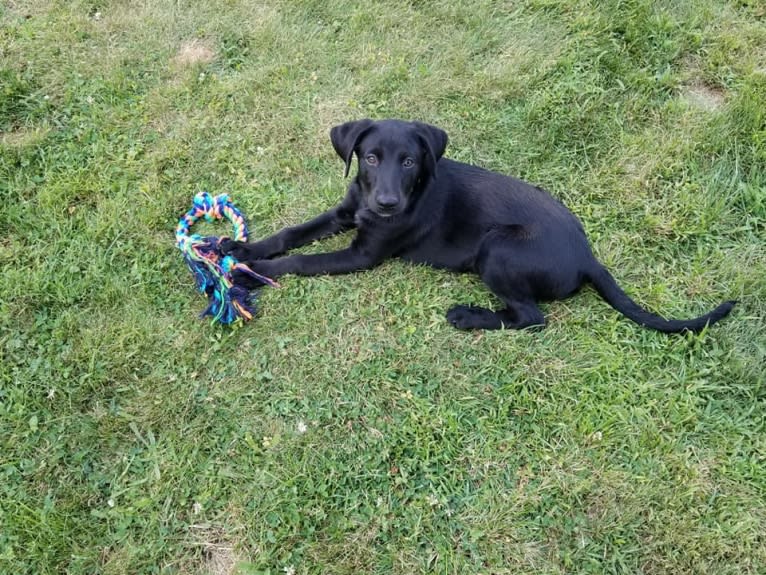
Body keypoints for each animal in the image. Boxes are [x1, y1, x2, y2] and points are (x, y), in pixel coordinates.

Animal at [226, 119, 736, 332]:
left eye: (409, 161)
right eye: (369, 158)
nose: (387, 203)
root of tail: (589, 257)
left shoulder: (364, 253)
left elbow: (303, 259)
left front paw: (248, 273)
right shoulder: (346, 213)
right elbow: (293, 233)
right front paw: (239, 249)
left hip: (498, 249)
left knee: (531, 319)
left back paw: (470, 317)